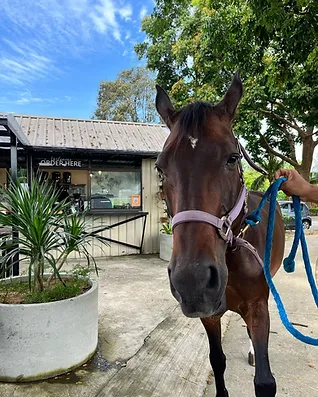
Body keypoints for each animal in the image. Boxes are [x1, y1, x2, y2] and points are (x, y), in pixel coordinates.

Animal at [155, 72, 284, 396]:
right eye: (160, 168)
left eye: (232, 158)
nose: (192, 280)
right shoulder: (210, 315)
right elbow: (217, 361)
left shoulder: (258, 307)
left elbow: (264, 381)